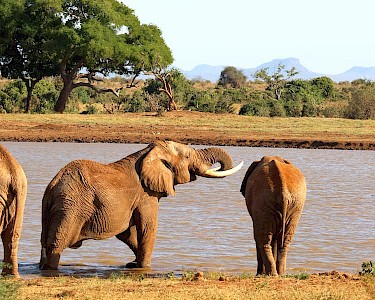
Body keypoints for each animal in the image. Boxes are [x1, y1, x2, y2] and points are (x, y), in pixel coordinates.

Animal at [39, 141, 244, 270]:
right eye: (187, 156)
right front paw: (144, 267)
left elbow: (127, 233)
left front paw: (133, 264)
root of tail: (52, 188)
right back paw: (51, 268)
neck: (149, 152)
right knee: (56, 244)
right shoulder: (146, 195)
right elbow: (147, 227)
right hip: (71, 208)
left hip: (53, 209)